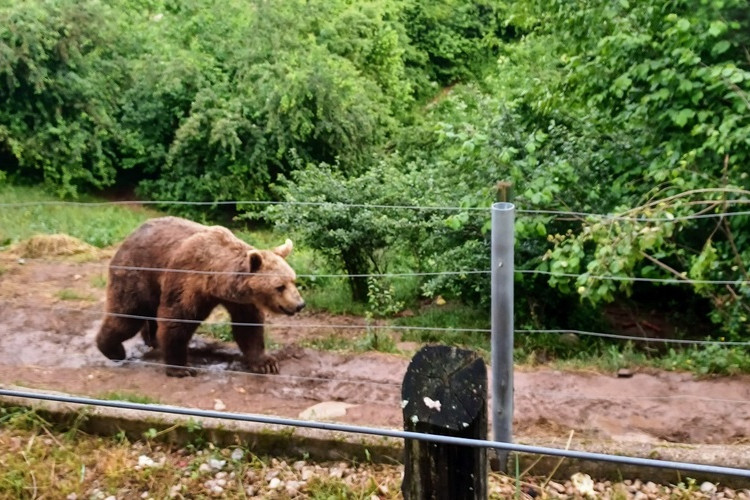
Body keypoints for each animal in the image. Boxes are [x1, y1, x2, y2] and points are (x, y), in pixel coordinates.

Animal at [95, 217, 306, 376]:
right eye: (280, 286)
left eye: (294, 281)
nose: (299, 304)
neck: (216, 279)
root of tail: (130, 235)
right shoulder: (188, 279)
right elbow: (177, 319)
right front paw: (181, 367)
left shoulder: (239, 299)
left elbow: (248, 326)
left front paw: (266, 363)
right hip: (138, 272)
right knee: (127, 314)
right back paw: (113, 350)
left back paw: (151, 339)